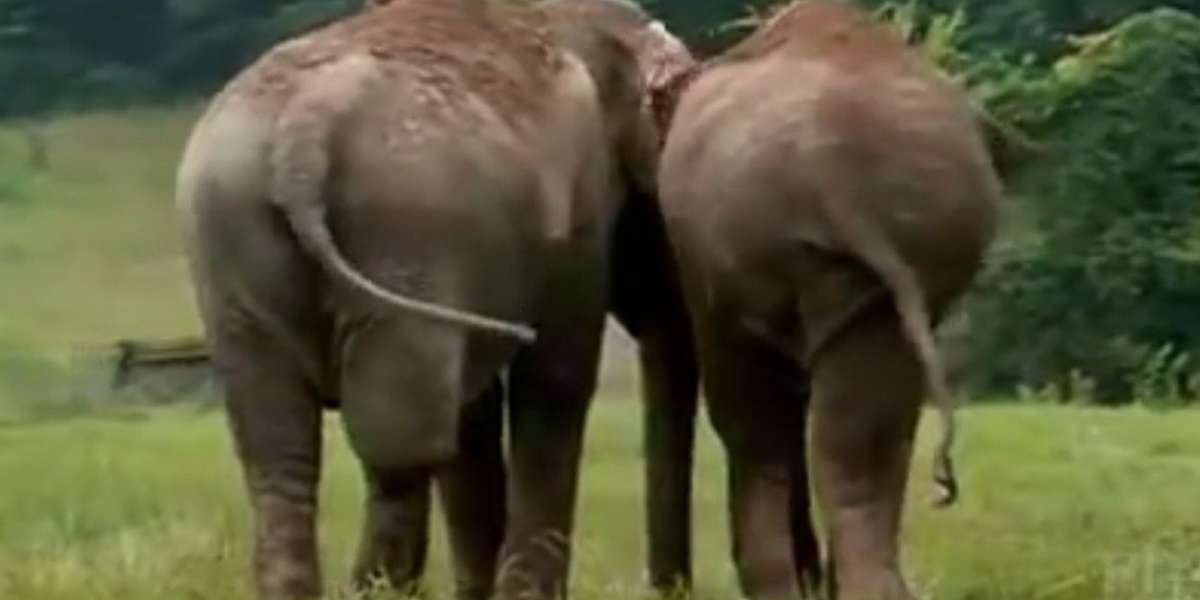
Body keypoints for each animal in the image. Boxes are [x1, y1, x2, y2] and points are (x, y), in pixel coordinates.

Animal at [175, 1, 696, 600]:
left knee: (279, 448)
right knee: (403, 443)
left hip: (234, 238)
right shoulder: (579, 213)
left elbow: (477, 412)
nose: (671, 587)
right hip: (405, 229)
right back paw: (376, 588)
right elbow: (556, 380)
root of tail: (302, 135)